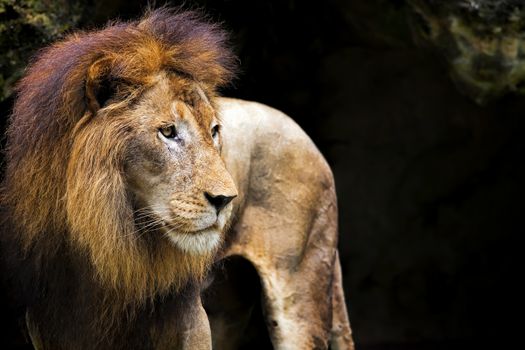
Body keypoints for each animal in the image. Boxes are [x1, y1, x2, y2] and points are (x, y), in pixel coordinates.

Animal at [0, 8, 354, 350]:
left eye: (214, 131)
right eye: (168, 132)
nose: (226, 200)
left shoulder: (189, 318)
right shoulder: (48, 322)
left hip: (300, 282)